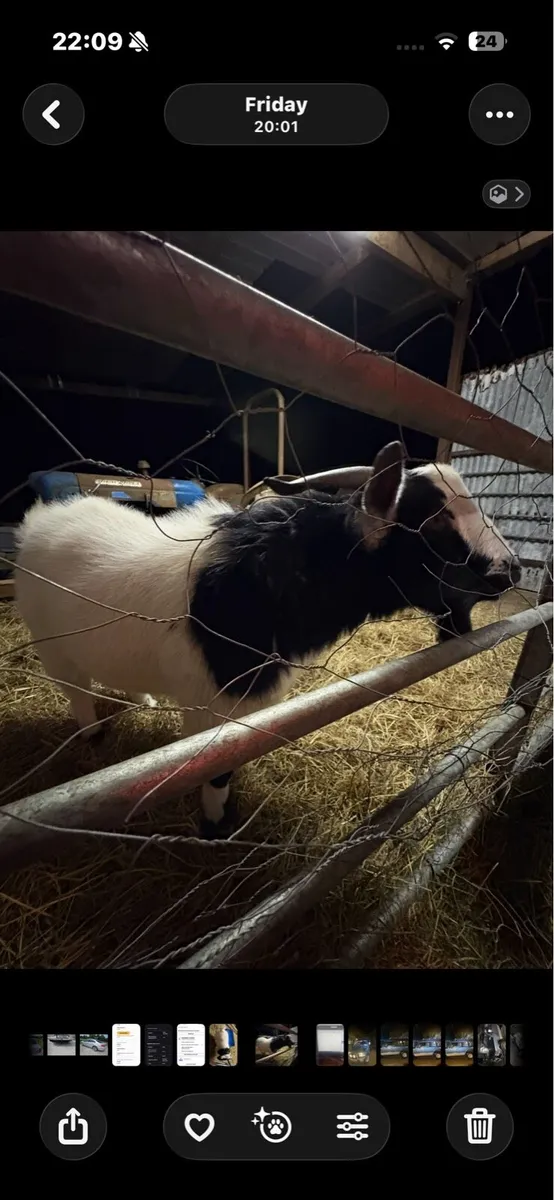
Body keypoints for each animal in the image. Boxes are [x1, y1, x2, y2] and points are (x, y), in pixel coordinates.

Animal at [15, 442, 521, 838]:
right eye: (433, 521)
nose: (511, 569)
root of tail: (42, 518)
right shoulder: (212, 708)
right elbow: (216, 774)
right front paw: (216, 825)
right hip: (52, 646)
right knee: (75, 691)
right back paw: (92, 733)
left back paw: (144, 700)